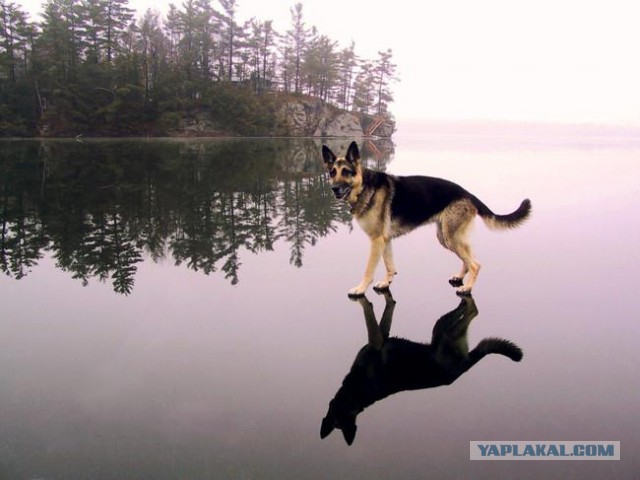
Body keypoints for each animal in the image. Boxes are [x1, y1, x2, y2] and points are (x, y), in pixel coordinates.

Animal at [322, 141, 532, 294]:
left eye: (346, 172)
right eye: (332, 173)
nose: (334, 189)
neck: (365, 186)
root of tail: (468, 193)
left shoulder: (376, 241)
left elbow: (369, 269)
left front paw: (360, 289)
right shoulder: (385, 240)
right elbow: (390, 265)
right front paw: (386, 283)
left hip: (451, 237)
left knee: (475, 264)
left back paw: (467, 288)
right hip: (448, 237)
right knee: (469, 258)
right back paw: (460, 277)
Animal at [322, 290, 524, 444]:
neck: (355, 394)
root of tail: (463, 367)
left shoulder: (377, 342)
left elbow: (369, 313)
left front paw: (364, 299)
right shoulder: (382, 336)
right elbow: (389, 308)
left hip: (444, 332)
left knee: (473, 310)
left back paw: (464, 295)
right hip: (441, 330)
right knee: (468, 311)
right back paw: (463, 297)